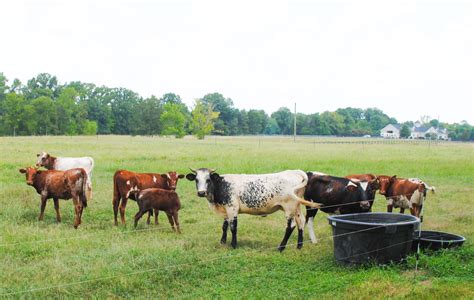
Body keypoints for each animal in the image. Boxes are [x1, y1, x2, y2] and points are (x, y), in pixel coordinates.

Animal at [185, 169, 322, 251]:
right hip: (296, 207)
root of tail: (295, 172)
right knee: (301, 222)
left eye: (208, 179)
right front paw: (222, 241)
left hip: (289, 207)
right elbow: (224, 226)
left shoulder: (232, 209)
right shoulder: (226, 210)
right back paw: (299, 246)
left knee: (291, 225)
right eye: (197, 180)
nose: (201, 192)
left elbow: (233, 227)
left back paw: (281, 247)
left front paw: (233, 245)